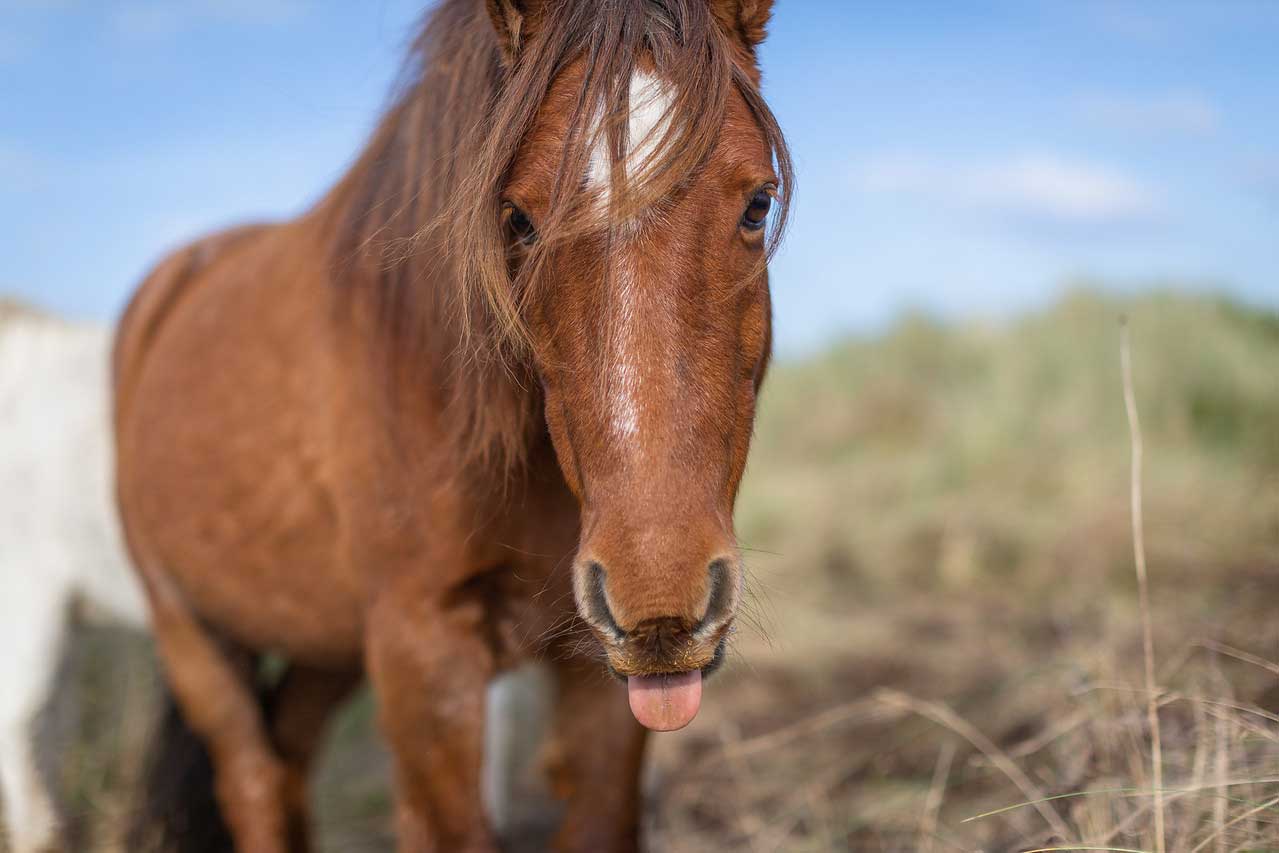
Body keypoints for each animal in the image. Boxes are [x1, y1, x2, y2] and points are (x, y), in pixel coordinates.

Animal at [112, 0, 787, 849]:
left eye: (757, 203)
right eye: (517, 219)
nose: (658, 594)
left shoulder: (601, 679)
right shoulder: (421, 653)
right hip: (191, 631)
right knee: (254, 779)